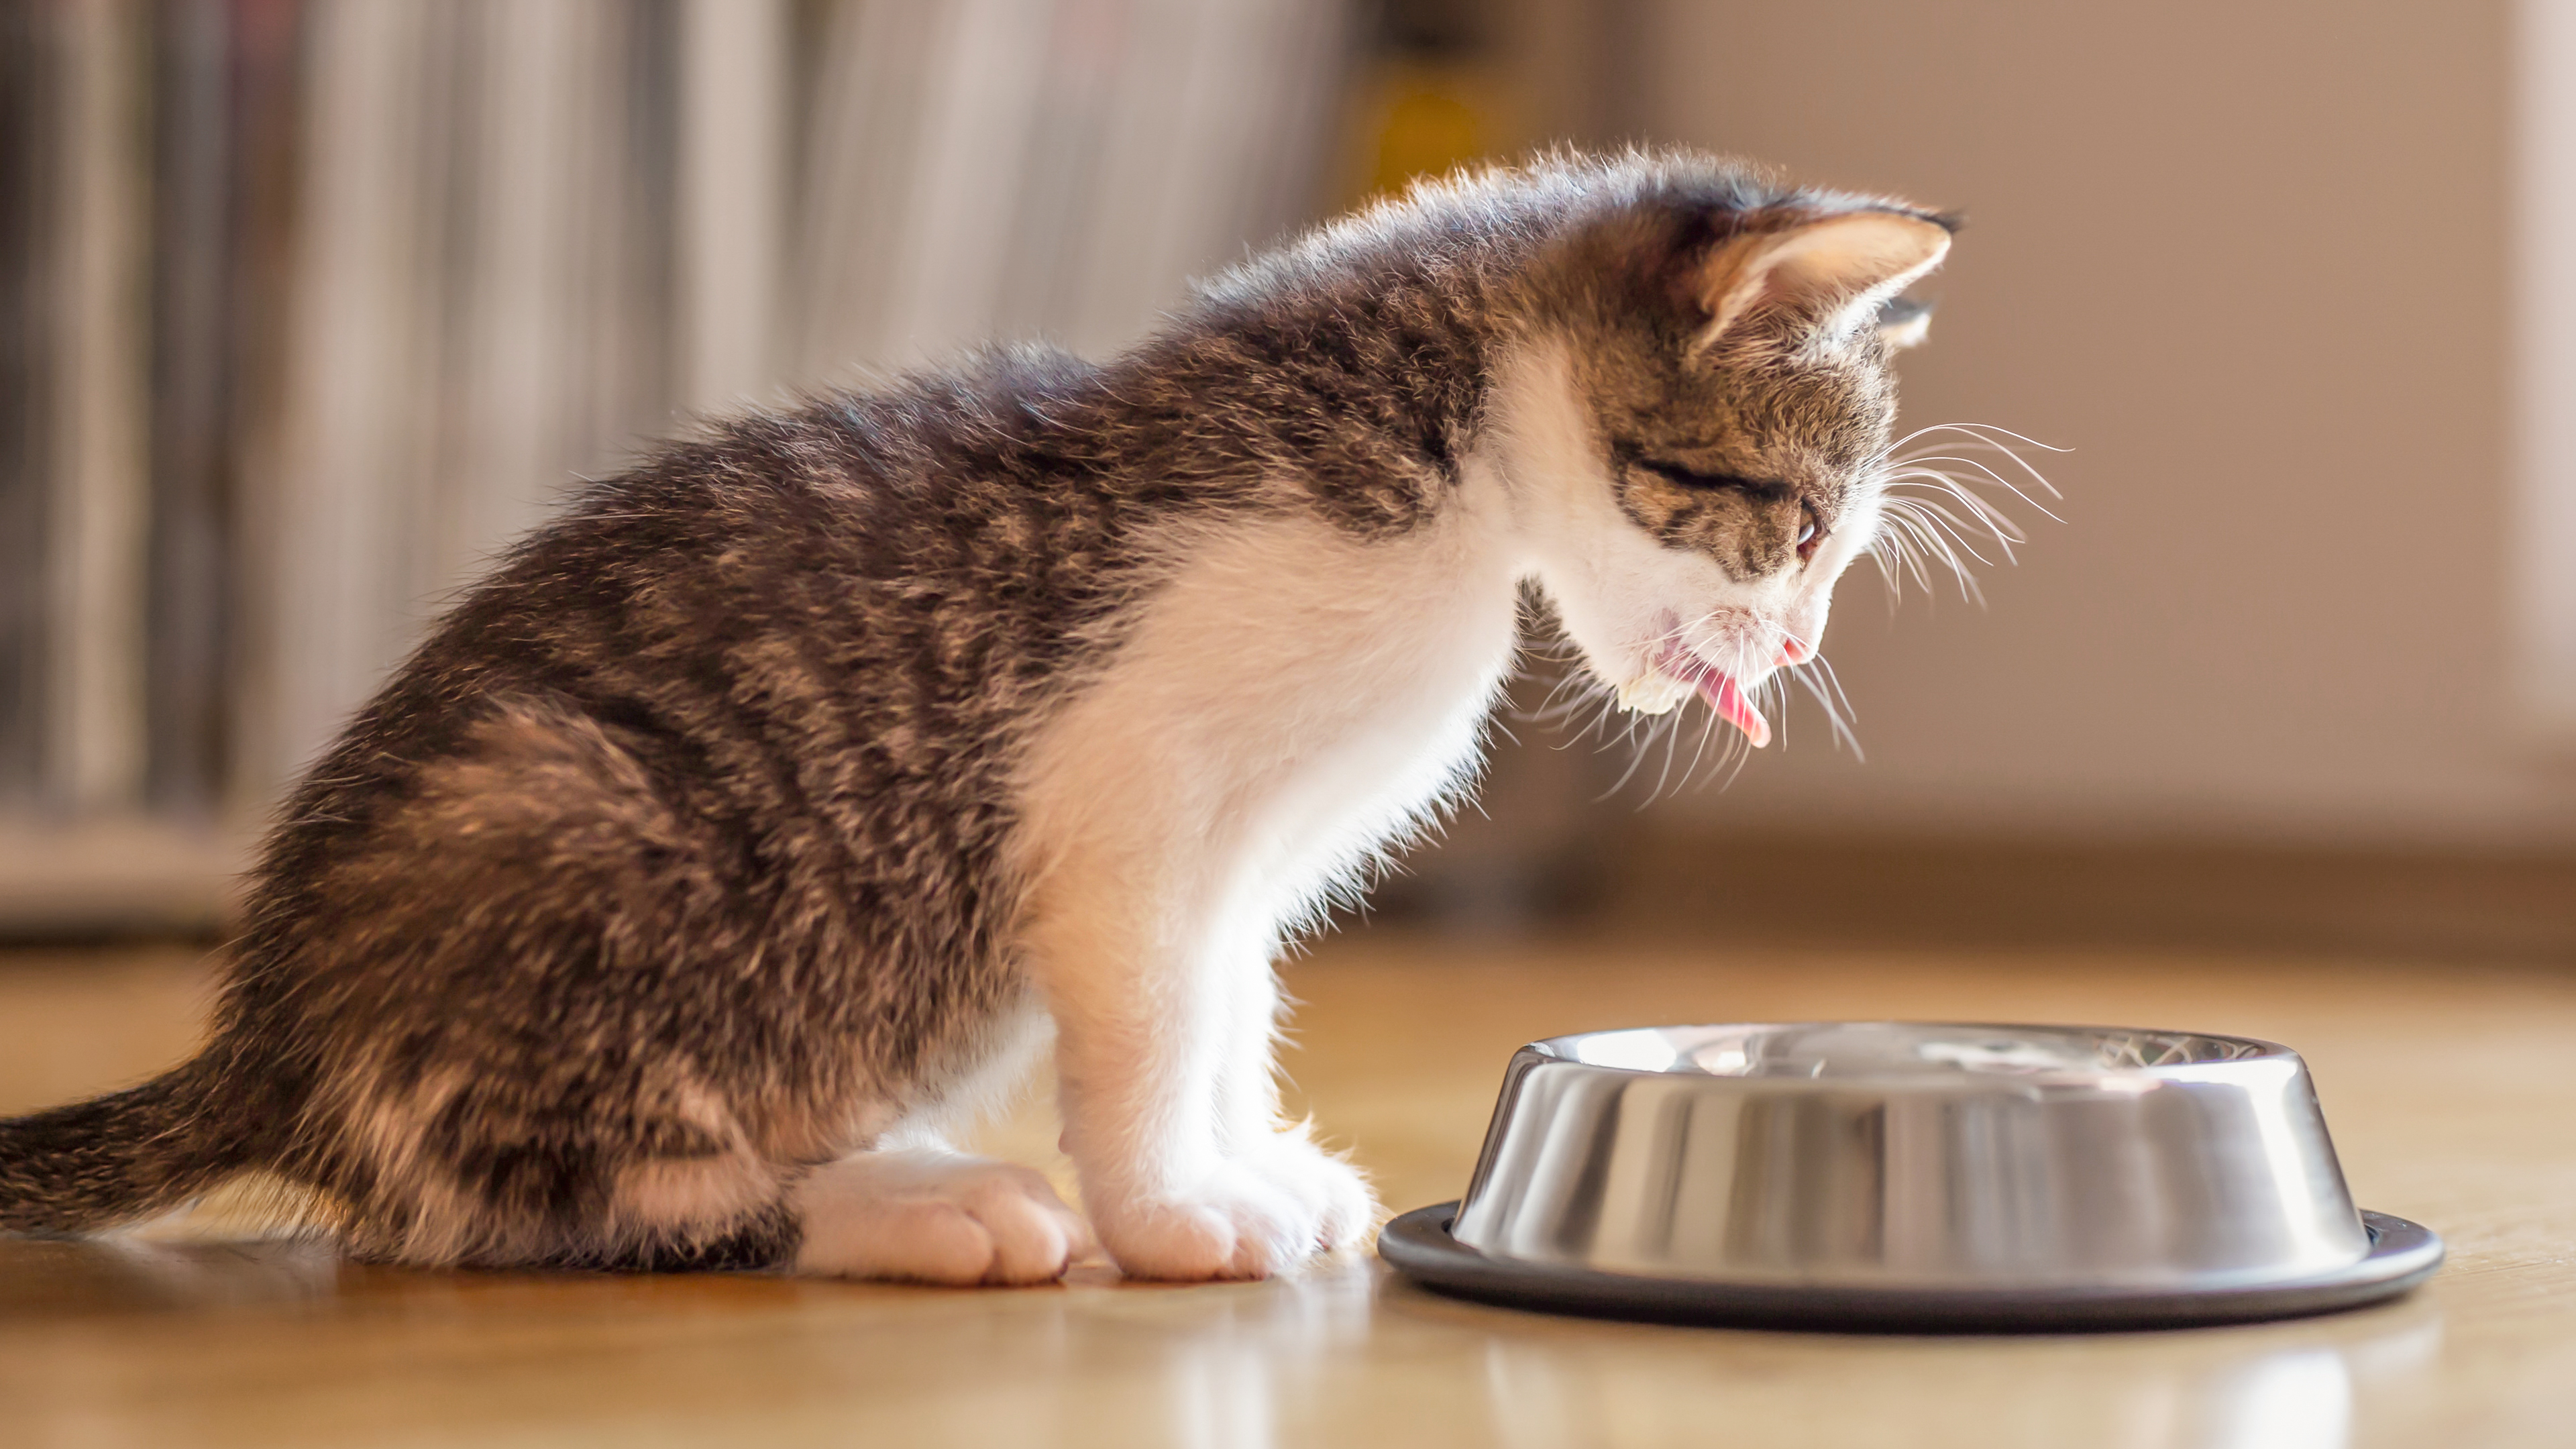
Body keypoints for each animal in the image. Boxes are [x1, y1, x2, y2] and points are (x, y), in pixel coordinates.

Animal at [0, 149, 1947, 1273]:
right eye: (1801, 527)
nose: (1792, 652)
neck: (1438, 455)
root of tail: (268, 1034)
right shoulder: (1127, 795)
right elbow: (1155, 1014)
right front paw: (1173, 1212)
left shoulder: (1240, 854)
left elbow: (1228, 1001)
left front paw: (1241, 1158)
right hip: (572, 820)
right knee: (522, 1200)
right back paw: (909, 1202)